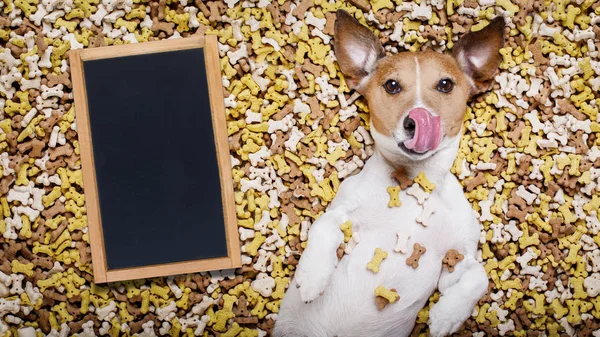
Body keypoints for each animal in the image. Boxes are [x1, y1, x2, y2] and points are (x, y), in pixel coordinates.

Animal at [274, 10, 504, 336]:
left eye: (446, 84)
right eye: (392, 85)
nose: (416, 120)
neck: (414, 182)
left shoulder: (457, 256)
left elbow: (479, 275)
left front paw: (447, 315)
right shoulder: (342, 209)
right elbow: (323, 226)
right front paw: (312, 276)